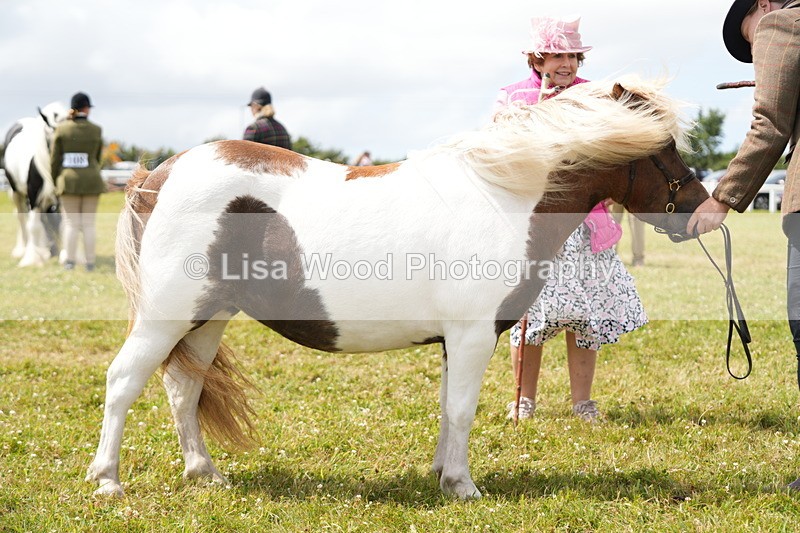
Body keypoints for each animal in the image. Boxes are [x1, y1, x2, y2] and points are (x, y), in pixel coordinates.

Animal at [2, 102, 67, 266]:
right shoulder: (33, 197)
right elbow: (33, 226)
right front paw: (32, 258)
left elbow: (63, 223)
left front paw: (65, 256)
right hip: (17, 193)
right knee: (21, 218)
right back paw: (22, 250)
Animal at [86, 77, 710, 499]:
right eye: (662, 148)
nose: (703, 213)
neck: (502, 194)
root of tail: (159, 174)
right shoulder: (473, 336)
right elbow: (462, 409)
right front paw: (463, 485)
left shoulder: (455, 342)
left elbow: (447, 409)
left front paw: (442, 473)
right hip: (167, 317)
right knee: (122, 381)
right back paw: (108, 481)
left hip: (207, 319)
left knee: (182, 390)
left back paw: (206, 474)